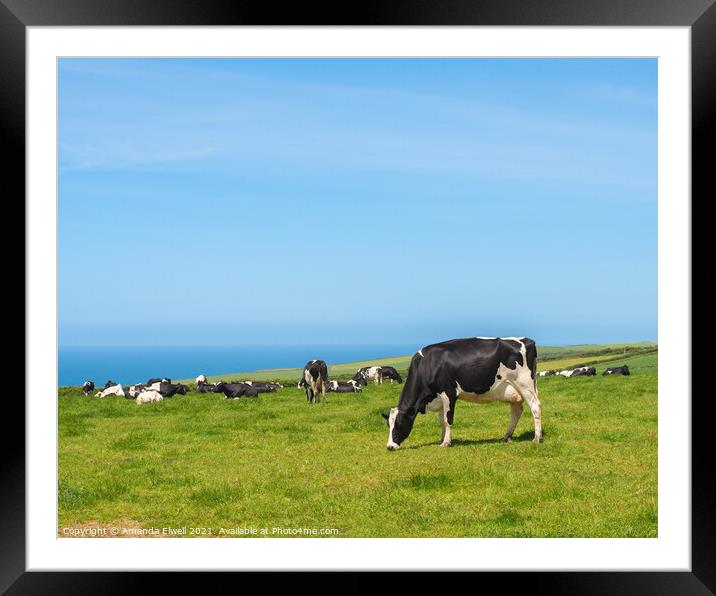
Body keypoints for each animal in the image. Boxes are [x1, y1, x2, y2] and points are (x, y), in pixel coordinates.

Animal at [380, 338, 544, 450]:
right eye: (388, 424)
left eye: (399, 424)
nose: (390, 446)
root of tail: (527, 340)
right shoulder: (439, 397)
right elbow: (441, 420)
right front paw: (442, 438)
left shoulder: (448, 392)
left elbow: (448, 419)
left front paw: (446, 442)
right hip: (514, 390)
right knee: (517, 411)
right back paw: (507, 436)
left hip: (525, 384)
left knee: (535, 407)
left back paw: (536, 438)